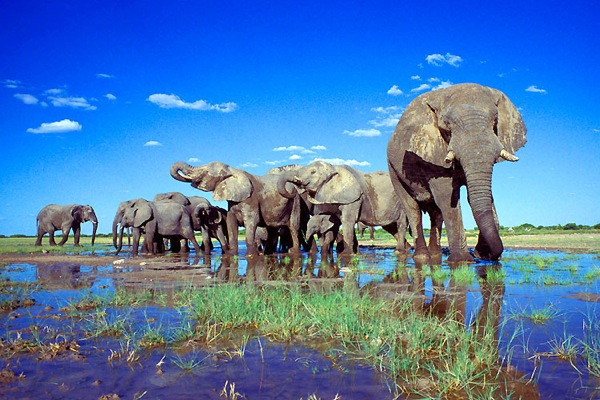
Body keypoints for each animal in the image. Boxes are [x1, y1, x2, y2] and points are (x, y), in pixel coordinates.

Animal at [170, 160, 308, 256]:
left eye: (205, 172)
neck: (233, 170)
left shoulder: (251, 199)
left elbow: (251, 222)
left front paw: (251, 256)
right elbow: (231, 222)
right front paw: (231, 254)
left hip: (295, 201)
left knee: (293, 227)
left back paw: (293, 252)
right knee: (272, 229)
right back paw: (266, 253)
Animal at [278, 161, 410, 255]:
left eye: (313, 172)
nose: (293, 190)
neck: (333, 167)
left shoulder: (354, 198)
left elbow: (348, 221)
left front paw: (346, 254)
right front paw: (353, 253)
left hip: (403, 199)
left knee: (401, 224)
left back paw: (399, 251)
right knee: (390, 227)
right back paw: (407, 248)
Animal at [386, 83, 524, 260]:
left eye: (495, 119)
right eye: (447, 124)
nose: (486, 255)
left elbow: (476, 196)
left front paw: (483, 256)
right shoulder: (433, 155)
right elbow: (447, 198)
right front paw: (462, 261)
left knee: (435, 213)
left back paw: (436, 255)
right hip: (393, 170)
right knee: (413, 209)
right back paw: (422, 257)